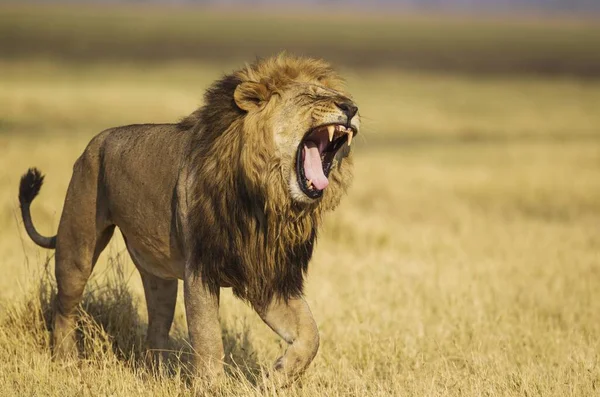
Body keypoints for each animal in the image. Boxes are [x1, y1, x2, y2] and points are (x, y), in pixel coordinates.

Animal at [17, 54, 356, 382]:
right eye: (312, 95)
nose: (352, 108)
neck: (264, 199)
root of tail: (94, 142)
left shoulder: (262, 275)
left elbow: (310, 335)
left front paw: (277, 376)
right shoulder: (200, 271)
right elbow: (208, 341)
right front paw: (212, 388)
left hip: (159, 279)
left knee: (156, 328)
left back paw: (155, 377)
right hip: (77, 245)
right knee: (64, 307)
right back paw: (65, 363)